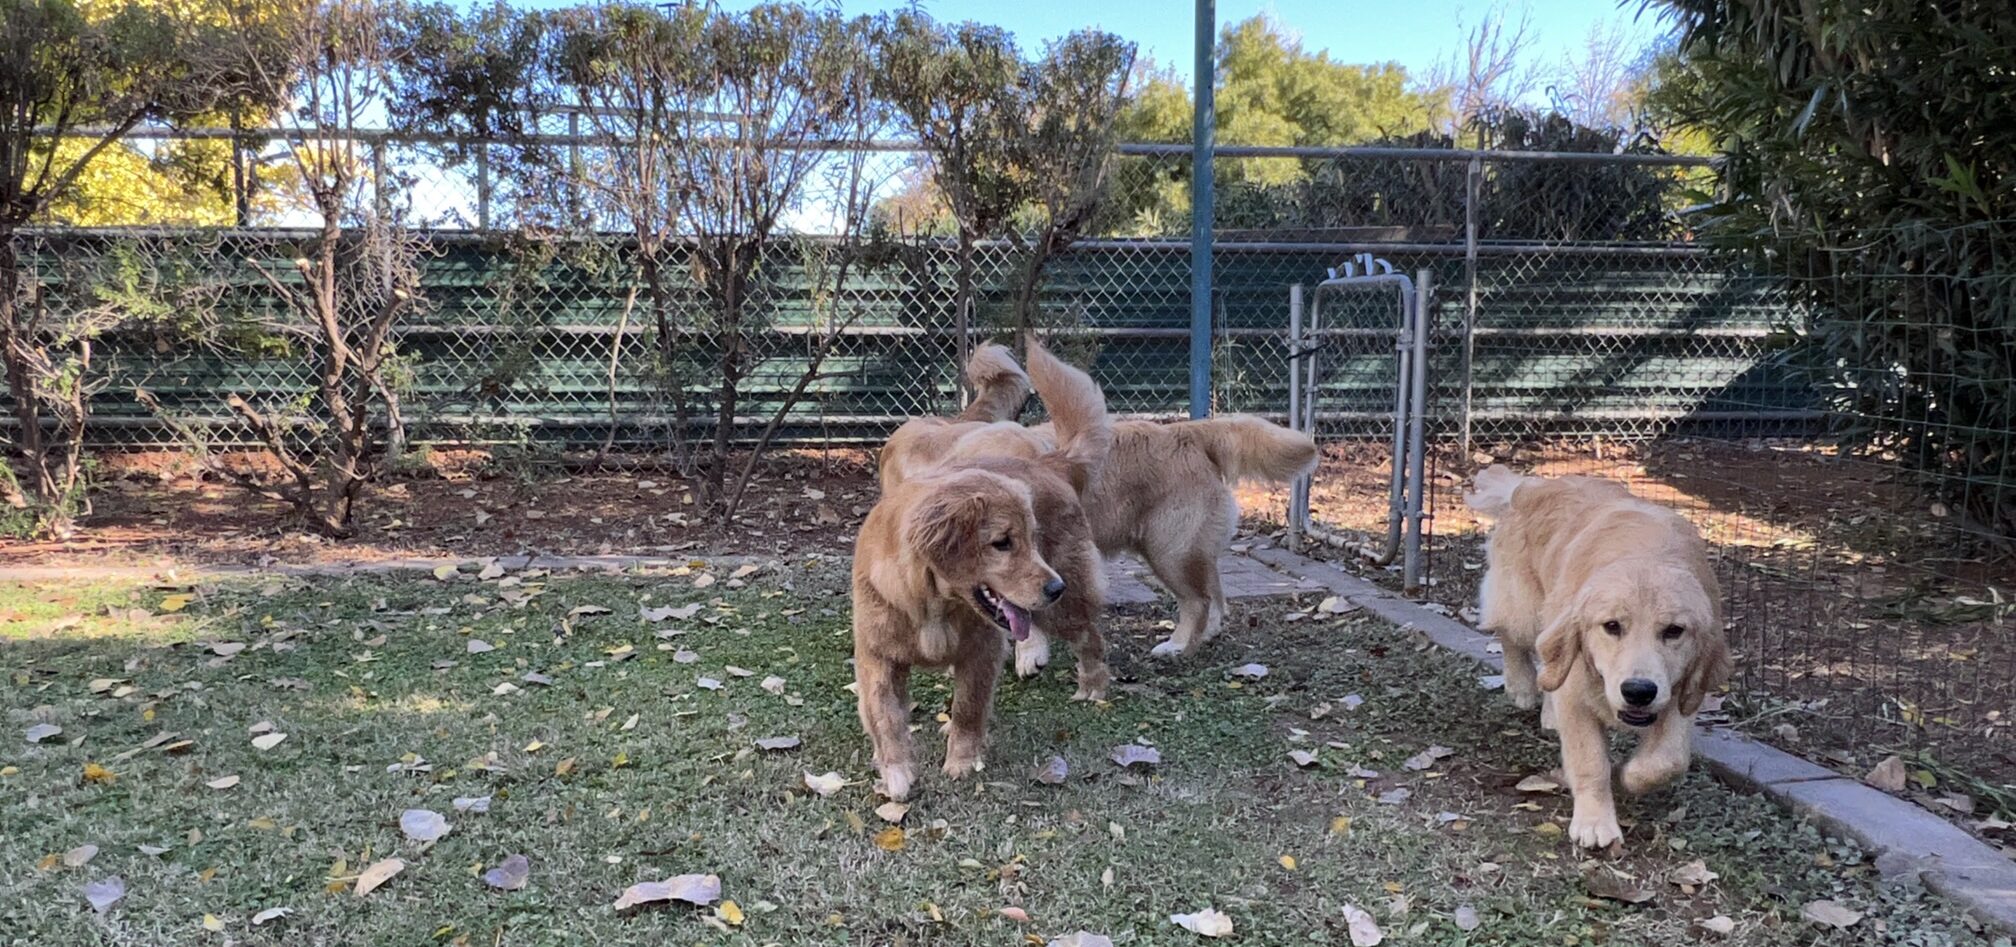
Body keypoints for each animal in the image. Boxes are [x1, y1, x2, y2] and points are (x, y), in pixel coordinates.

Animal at [842, 336, 1112, 801]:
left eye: (1030, 538)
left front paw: (962, 763)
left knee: (1087, 636)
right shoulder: (877, 656)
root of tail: (1051, 462)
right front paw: (896, 772)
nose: (1054, 586)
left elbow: (969, 706)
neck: (929, 602)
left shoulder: (980, 652)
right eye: (1002, 543)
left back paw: (1091, 686)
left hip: (1066, 602)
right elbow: (885, 717)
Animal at [878, 344, 1314, 660]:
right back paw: (1205, 635)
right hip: (1184, 550)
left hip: (1169, 550)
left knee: (1198, 600)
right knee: (1215, 592)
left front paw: (1030, 653)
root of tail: (1188, 432)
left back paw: (1178, 645)